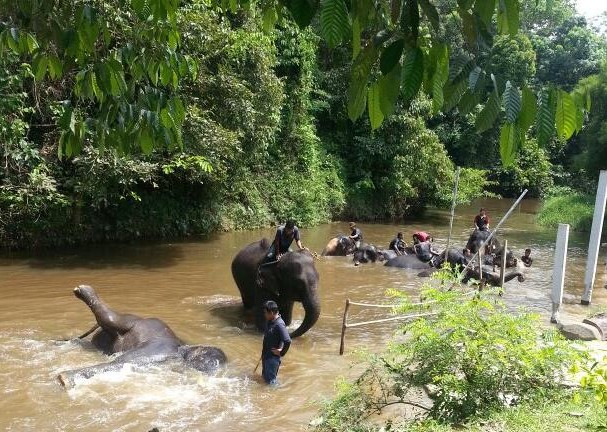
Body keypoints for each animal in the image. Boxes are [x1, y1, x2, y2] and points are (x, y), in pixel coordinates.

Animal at [57, 286, 227, 388]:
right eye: (206, 358)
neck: (182, 351)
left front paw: (64, 379)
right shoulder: (157, 351)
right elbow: (120, 362)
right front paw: (64, 379)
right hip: (131, 320)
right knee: (111, 317)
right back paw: (82, 290)